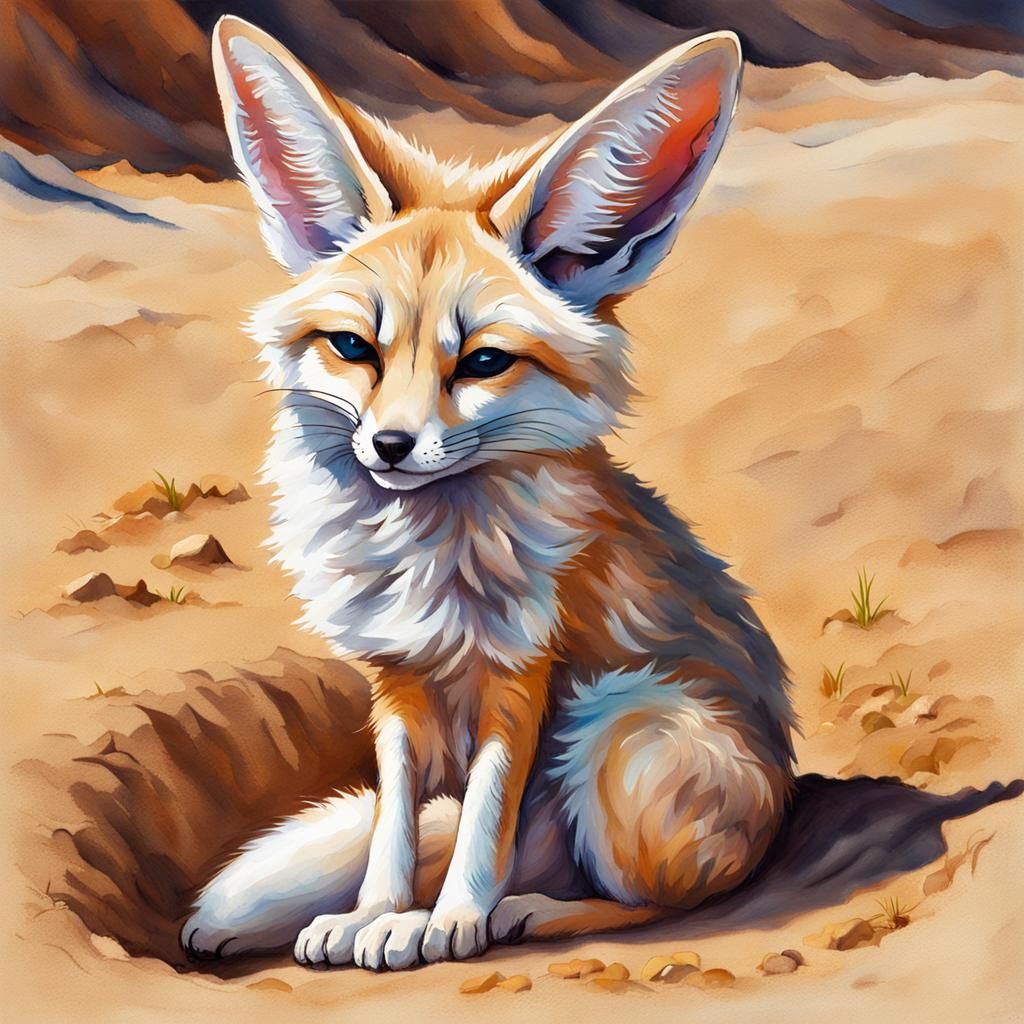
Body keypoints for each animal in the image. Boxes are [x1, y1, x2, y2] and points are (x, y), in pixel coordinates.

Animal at [180, 16, 796, 971]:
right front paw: (375, 912)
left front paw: (448, 924)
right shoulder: (396, 681)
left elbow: (479, 823)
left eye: (483, 361)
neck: (424, 557)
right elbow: (396, 826)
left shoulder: (522, 672)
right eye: (354, 348)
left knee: (668, 899)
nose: (389, 446)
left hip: (615, 728)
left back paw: (533, 912)